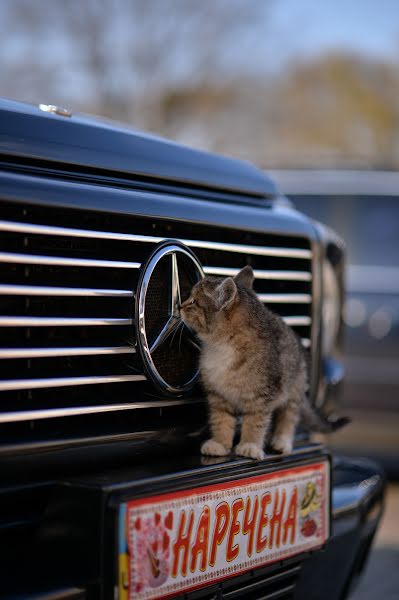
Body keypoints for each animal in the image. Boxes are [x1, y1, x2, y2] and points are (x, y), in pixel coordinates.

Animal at [180, 266, 348, 460]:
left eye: (193, 301)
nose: (180, 306)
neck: (222, 346)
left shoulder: (262, 396)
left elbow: (255, 421)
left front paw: (250, 445)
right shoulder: (219, 395)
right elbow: (221, 419)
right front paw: (220, 443)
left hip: (293, 386)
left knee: (288, 416)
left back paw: (282, 441)